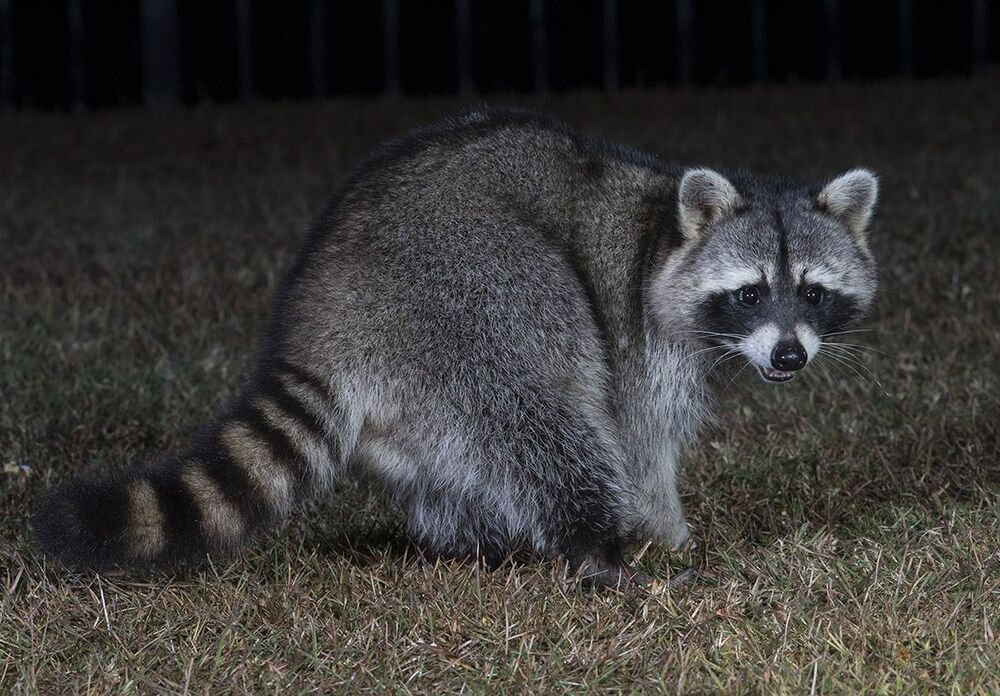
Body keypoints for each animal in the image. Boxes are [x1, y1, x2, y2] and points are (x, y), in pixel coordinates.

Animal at [32, 109, 878, 587]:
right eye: (749, 293)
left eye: (811, 292)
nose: (790, 357)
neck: (666, 231)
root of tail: (323, 312)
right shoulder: (640, 331)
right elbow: (640, 442)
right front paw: (667, 533)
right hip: (468, 299)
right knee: (547, 410)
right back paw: (593, 552)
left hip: (422, 388)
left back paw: (475, 547)